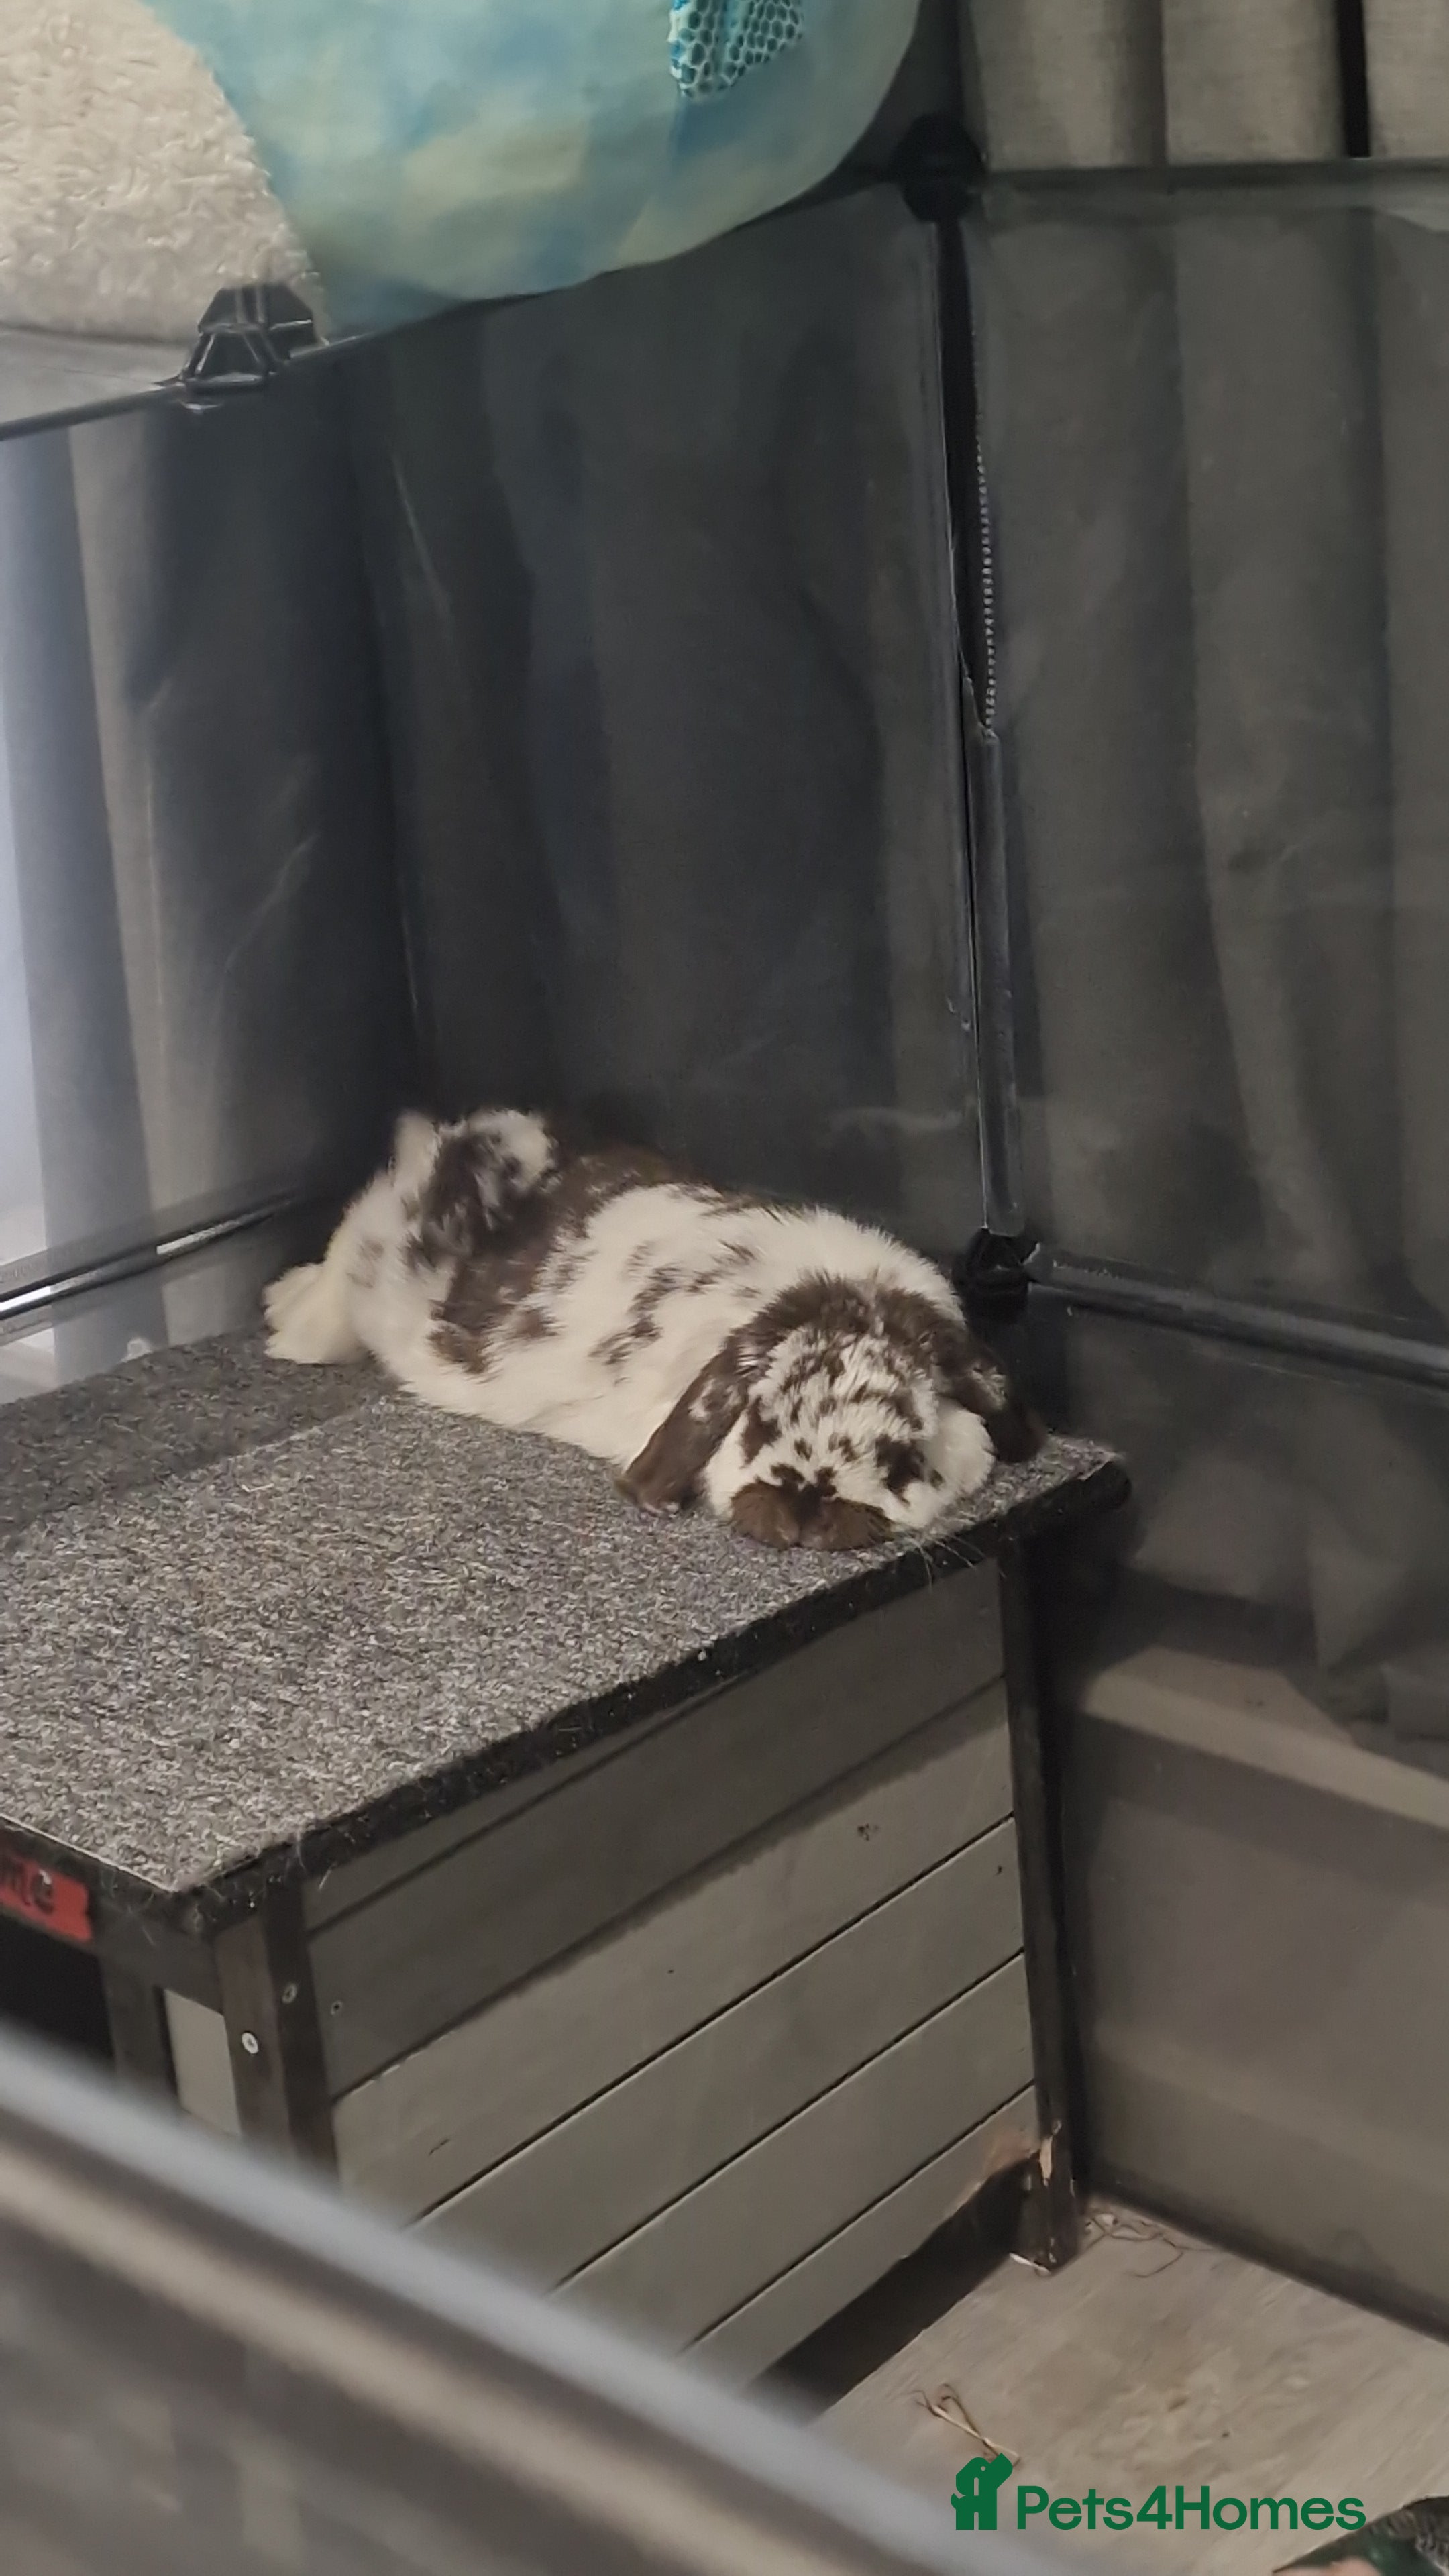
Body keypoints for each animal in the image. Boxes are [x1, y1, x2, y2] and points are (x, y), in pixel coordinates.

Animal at [263, 1108, 1042, 1549]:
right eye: (757, 1423)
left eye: (903, 1458)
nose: (802, 1506)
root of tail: (459, 1146)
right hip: (375, 1261)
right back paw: (287, 1324)